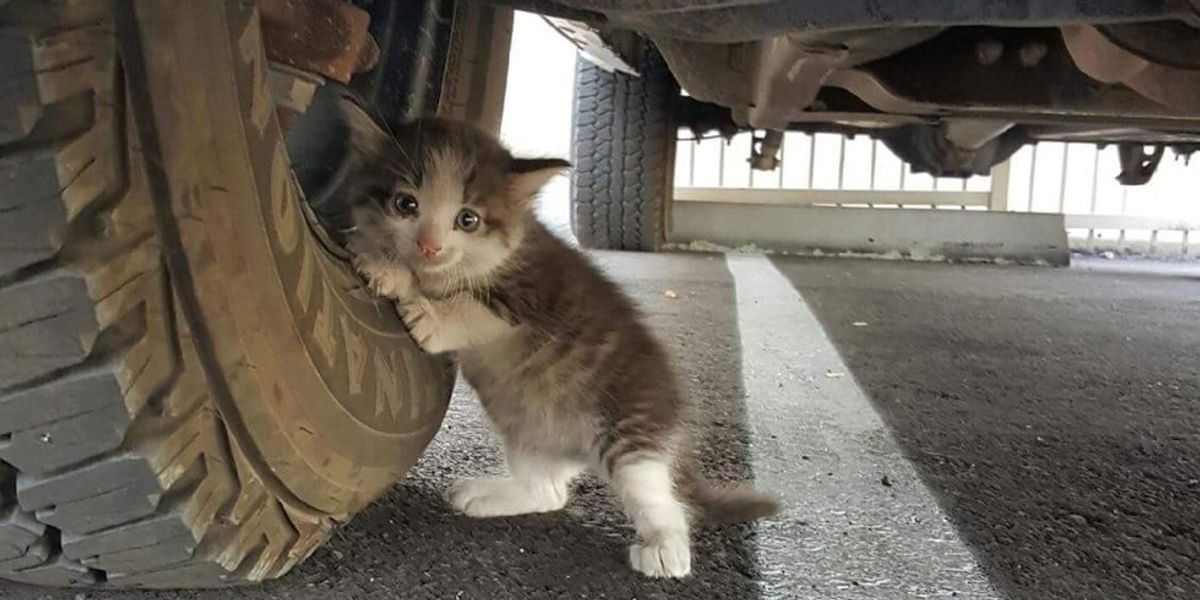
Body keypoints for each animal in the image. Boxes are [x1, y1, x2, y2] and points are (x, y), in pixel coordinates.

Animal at [336, 98, 777, 576]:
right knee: (549, 493)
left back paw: (665, 547)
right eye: (406, 204)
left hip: (630, 429)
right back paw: (489, 494)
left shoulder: (534, 295)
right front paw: (381, 257)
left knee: (658, 495)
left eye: (467, 219)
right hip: (527, 429)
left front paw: (417, 298)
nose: (430, 246)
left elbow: (468, 304)